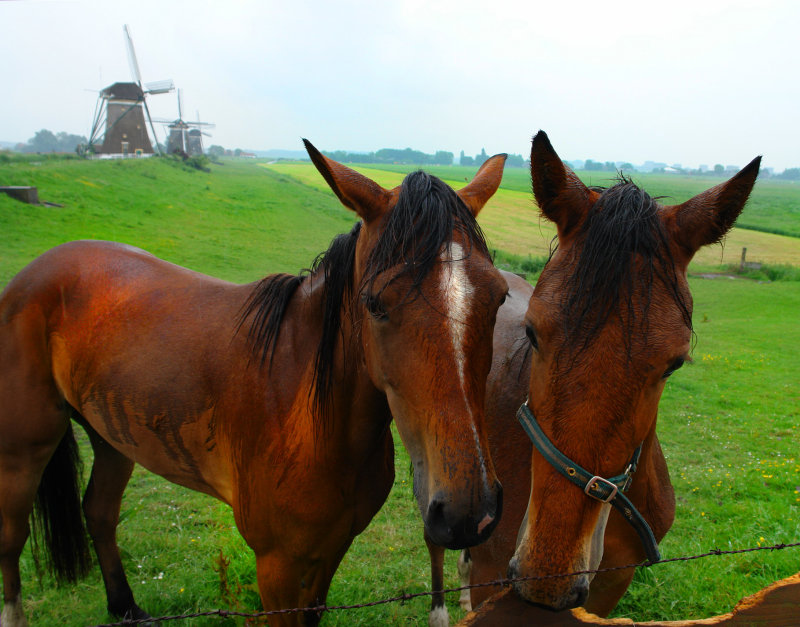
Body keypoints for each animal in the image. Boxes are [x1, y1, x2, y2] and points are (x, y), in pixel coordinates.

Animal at [0, 142, 510, 627]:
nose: (468, 514)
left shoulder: (331, 548)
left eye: (499, 298)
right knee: (12, 535)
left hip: (111, 436)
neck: (306, 416)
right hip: (25, 448)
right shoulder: (276, 566)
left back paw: (126, 607)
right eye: (375, 304)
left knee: (100, 512)